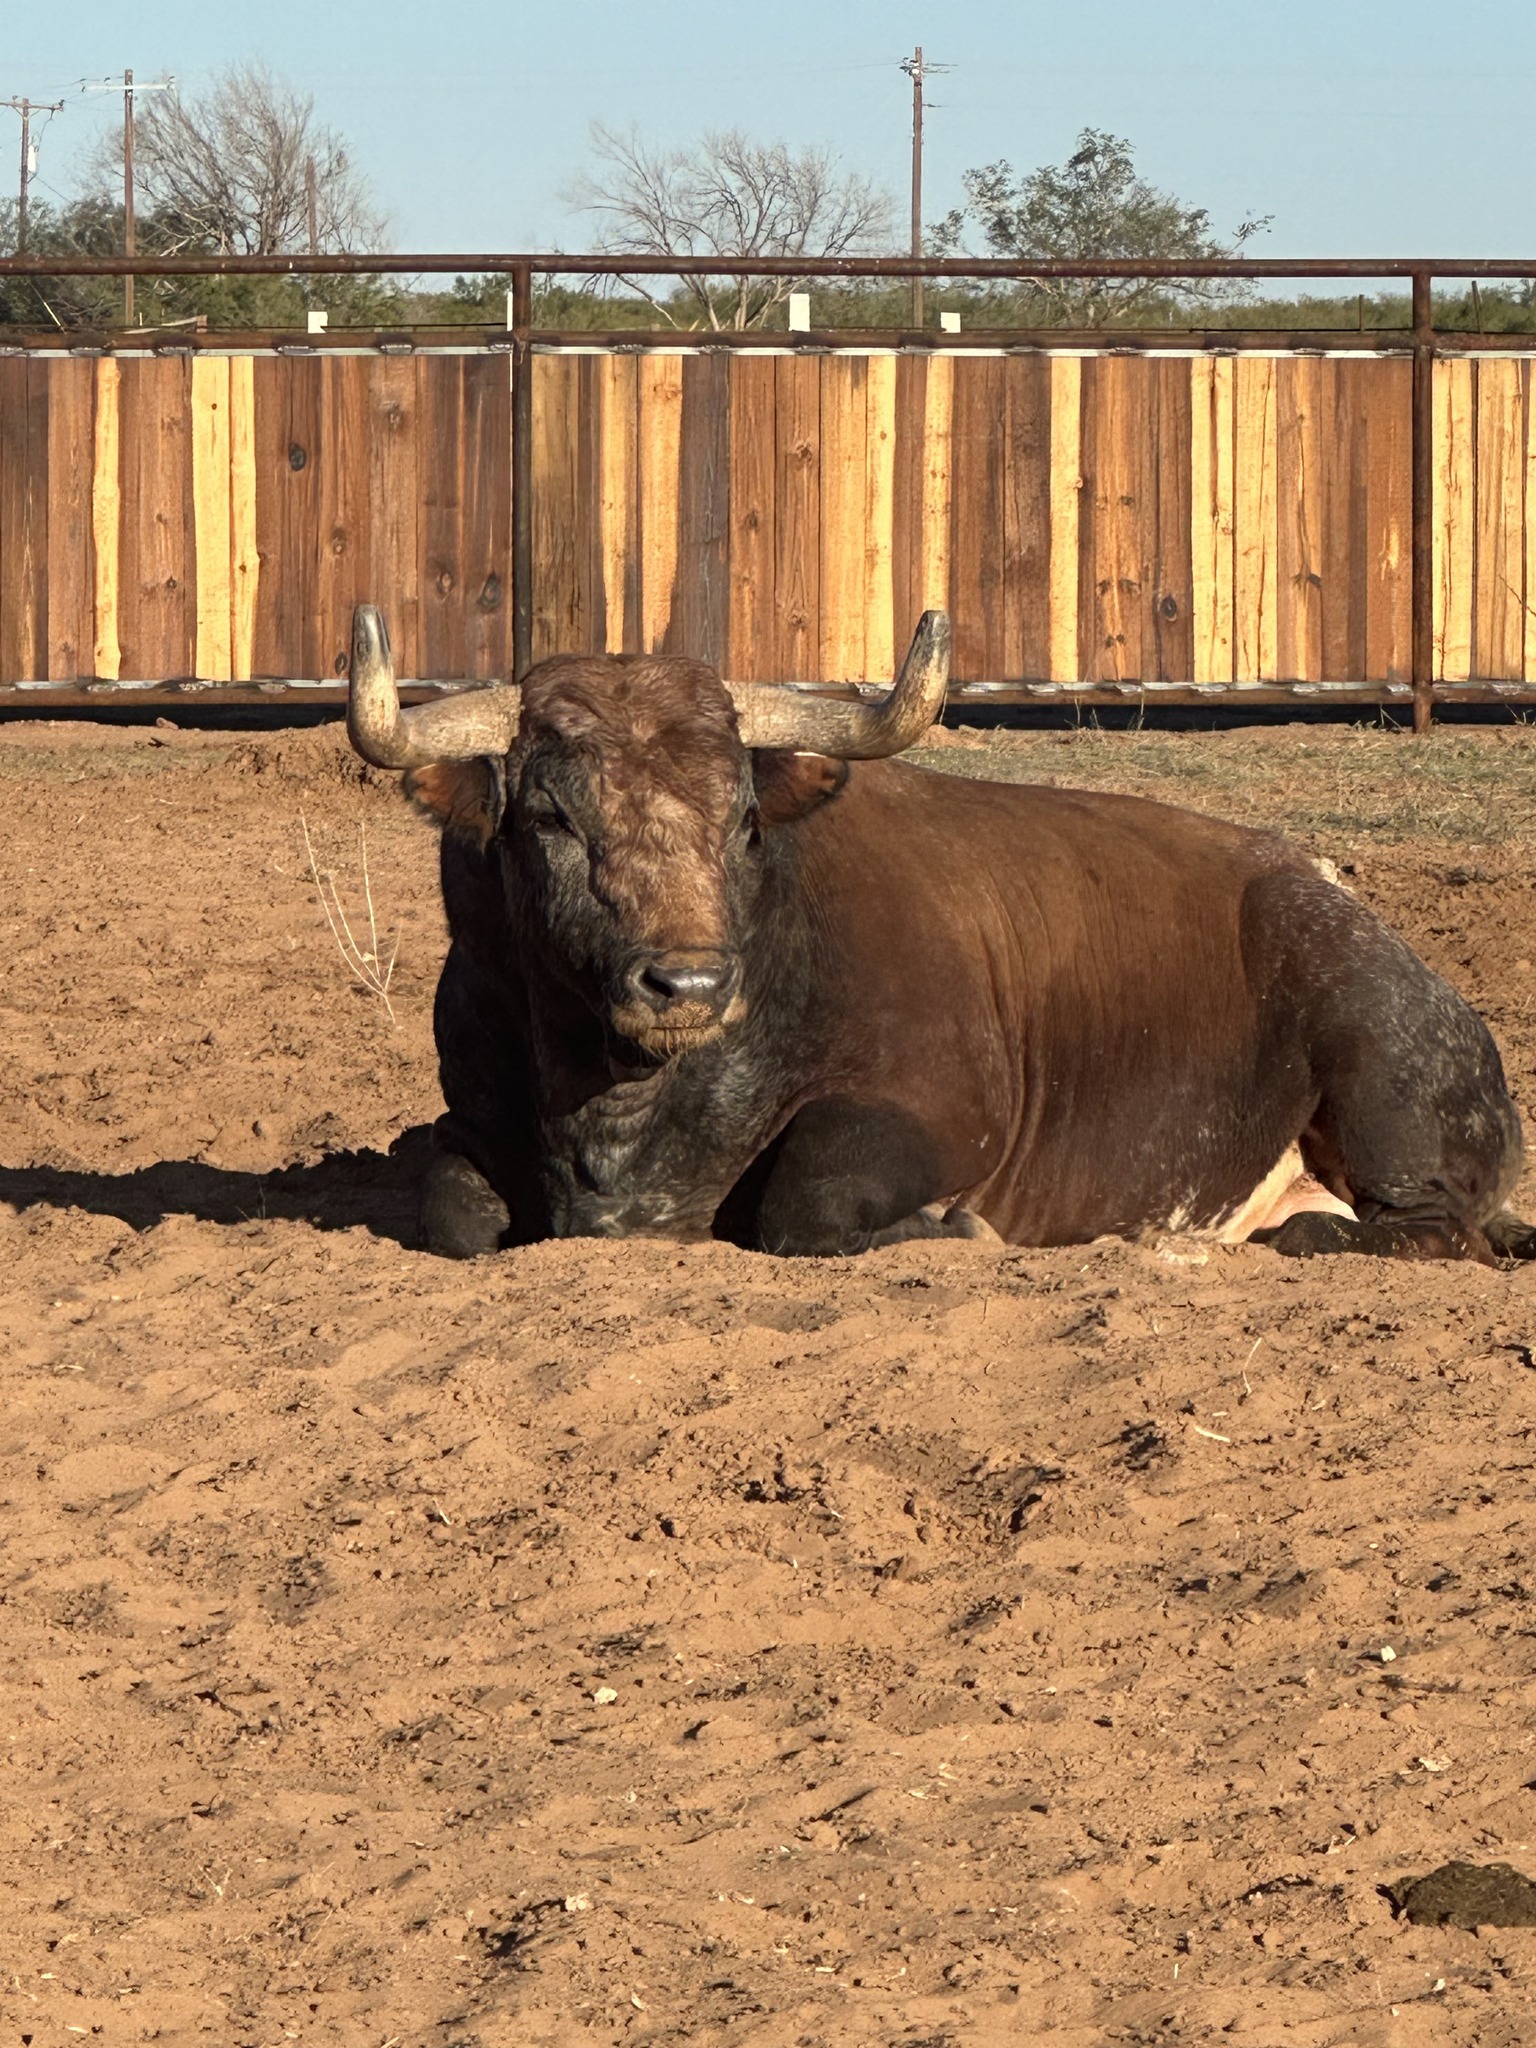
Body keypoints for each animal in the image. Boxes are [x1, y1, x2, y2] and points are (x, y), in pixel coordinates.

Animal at [344, 603, 1529, 1266]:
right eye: (551, 817)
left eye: (744, 816)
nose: (687, 984)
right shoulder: (469, 1117)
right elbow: (452, 1211)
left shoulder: (937, 1111)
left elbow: (807, 1203)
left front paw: (957, 1229)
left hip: (1379, 1068)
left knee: (1428, 1225)